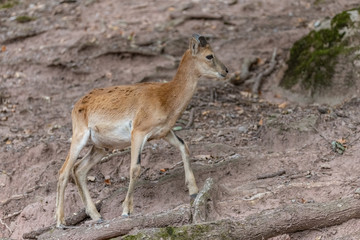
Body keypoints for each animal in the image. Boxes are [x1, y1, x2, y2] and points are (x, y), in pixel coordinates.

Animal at [56, 33, 228, 227]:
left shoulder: (164, 132)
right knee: (64, 172)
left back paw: (97, 216)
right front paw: (126, 211)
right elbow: (135, 168)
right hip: (79, 137)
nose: (226, 71)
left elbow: (184, 146)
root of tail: (78, 104)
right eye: (209, 56)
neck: (165, 97)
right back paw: (60, 221)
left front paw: (193, 191)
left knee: (79, 170)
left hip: (101, 147)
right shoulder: (138, 133)